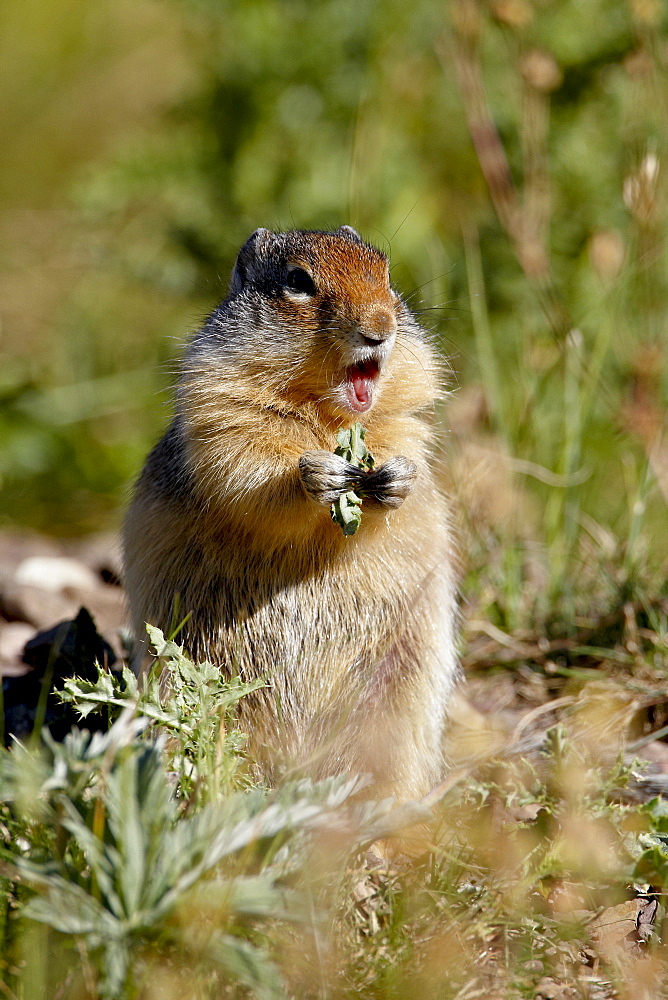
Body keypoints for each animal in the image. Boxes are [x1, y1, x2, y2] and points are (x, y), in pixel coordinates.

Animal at [124, 227, 460, 796]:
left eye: (386, 274)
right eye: (299, 281)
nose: (381, 328)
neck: (327, 414)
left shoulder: (402, 419)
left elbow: (405, 444)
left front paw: (396, 480)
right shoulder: (220, 409)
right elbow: (247, 469)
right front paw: (317, 475)